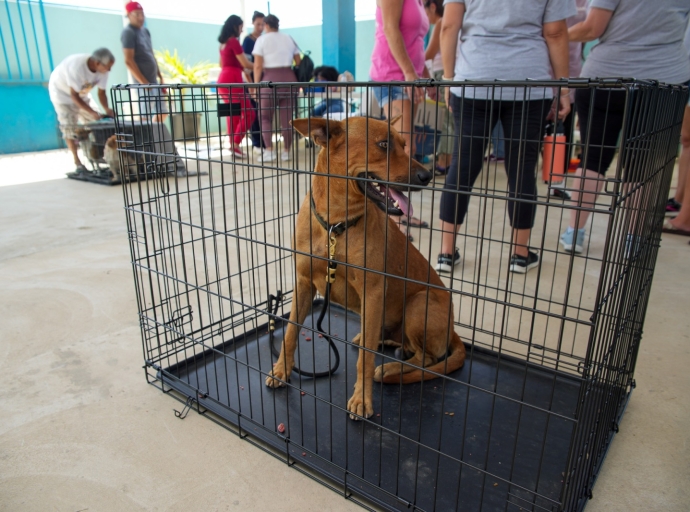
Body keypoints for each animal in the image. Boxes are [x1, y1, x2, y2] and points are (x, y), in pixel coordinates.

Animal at [266, 117, 464, 420]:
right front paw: (281, 370)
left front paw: (362, 399)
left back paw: (391, 368)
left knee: (425, 359)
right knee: (400, 345)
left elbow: (365, 361)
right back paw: (388, 343)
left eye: (404, 145)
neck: (336, 225)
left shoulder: (372, 292)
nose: (428, 176)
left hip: (420, 303)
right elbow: (289, 333)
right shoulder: (303, 283)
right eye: (383, 144)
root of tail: (453, 329)